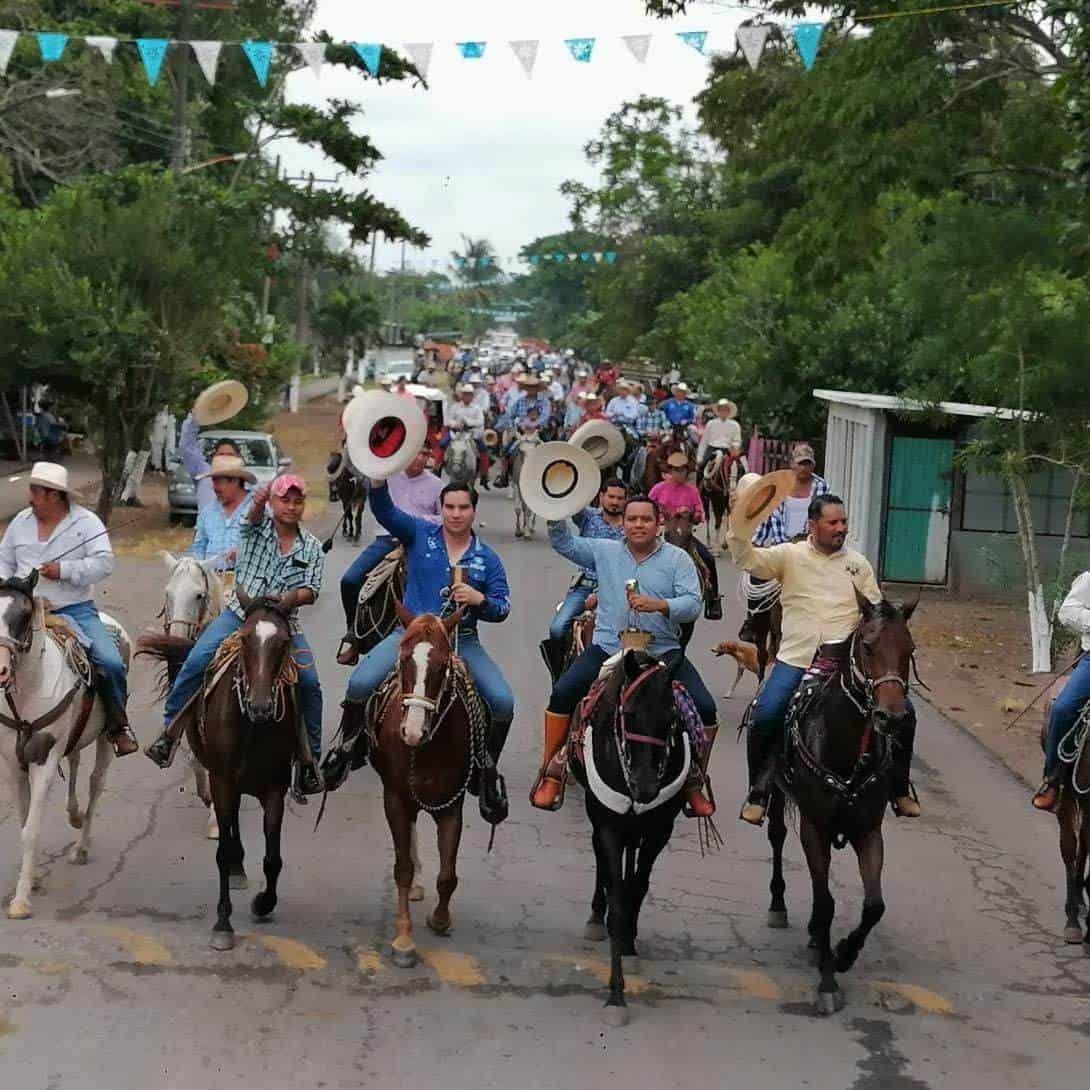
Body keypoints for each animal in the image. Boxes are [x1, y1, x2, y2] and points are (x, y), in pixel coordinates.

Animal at [0, 571, 128, 919]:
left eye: (23, 616)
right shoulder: (13, 766)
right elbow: (23, 821)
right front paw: (34, 878)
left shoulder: (43, 761)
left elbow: (30, 829)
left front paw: (21, 900)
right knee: (74, 762)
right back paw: (74, 814)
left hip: (106, 740)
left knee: (95, 783)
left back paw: (81, 847)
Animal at [368, 606, 488, 972]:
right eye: (403, 660)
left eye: (441, 665)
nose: (411, 730)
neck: (427, 748)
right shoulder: (394, 799)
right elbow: (402, 868)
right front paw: (404, 940)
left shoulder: (452, 806)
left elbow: (448, 874)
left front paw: (440, 919)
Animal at [566, 649, 693, 1024]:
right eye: (631, 714)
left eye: (671, 718)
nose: (646, 787)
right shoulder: (608, 824)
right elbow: (619, 898)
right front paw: (616, 995)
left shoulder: (659, 829)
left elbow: (637, 888)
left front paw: (628, 945)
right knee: (603, 866)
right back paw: (597, 917)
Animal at [767, 597, 919, 1011]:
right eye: (867, 646)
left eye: (910, 650)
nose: (892, 716)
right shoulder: (814, 829)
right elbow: (826, 903)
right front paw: (827, 981)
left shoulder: (869, 832)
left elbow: (873, 906)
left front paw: (845, 953)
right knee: (776, 838)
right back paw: (778, 905)